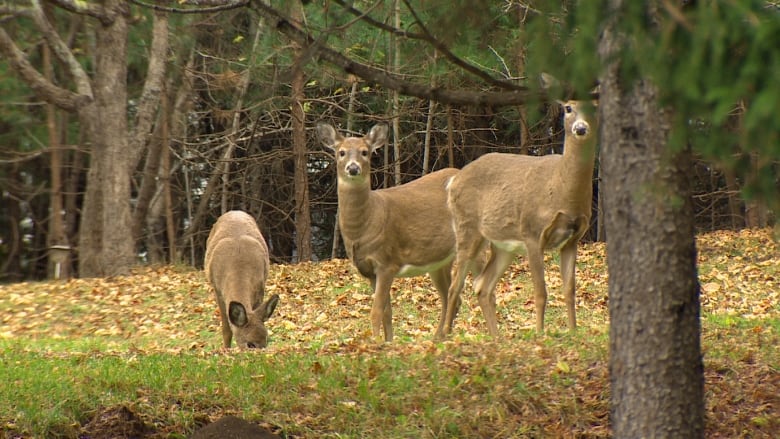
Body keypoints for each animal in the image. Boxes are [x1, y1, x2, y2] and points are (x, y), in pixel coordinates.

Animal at [204, 211, 280, 350]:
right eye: (250, 344)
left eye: (267, 341)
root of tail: (234, 211)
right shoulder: (218, 291)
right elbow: (227, 329)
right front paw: (226, 350)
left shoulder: (260, 288)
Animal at [318, 122, 464, 342]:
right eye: (341, 152)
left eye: (365, 152)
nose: (353, 168)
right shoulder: (369, 270)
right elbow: (387, 310)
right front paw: (388, 340)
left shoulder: (387, 262)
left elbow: (376, 310)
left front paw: (375, 341)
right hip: (439, 260)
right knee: (449, 295)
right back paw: (439, 336)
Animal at [442, 93, 600, 336]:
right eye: (568, 107)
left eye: (594, 106)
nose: (581, 128)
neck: (561, 190)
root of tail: (453, 181)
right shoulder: (532, 232)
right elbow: (541, 292)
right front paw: (540, 334)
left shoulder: (573, 239)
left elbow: (569, 290)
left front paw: (573, 332)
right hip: (467, 227)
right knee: (455, 286)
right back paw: (445, 336)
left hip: (503, 246)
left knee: (482, 286)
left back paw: (497, 338)